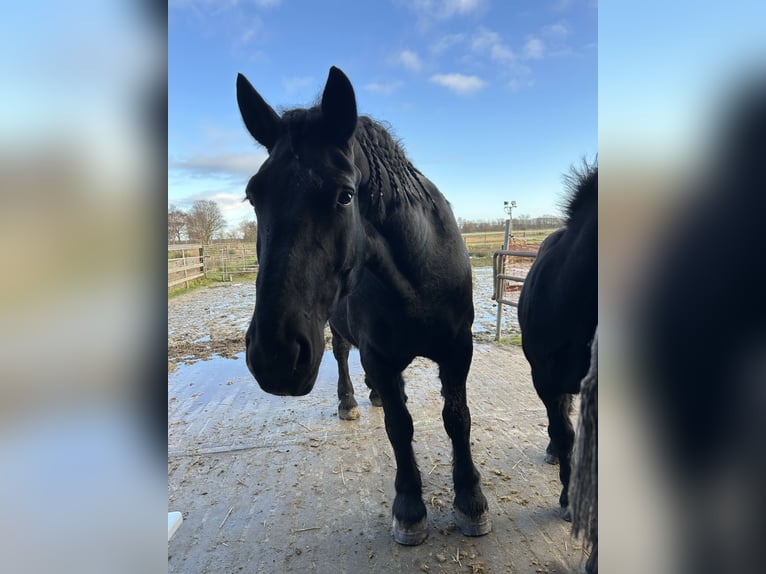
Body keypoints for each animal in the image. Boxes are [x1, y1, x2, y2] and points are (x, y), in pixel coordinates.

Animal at [236, 65, 492, 548]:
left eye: (345, 195)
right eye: (253, 195)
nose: (274, 356)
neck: (417, 273)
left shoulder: (458, 351)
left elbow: (457, 418)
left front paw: (470, 500)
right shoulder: (378, 353)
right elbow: (399, 426)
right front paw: (410, 508)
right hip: (337, 334)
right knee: (343, 359)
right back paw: (351, 400)